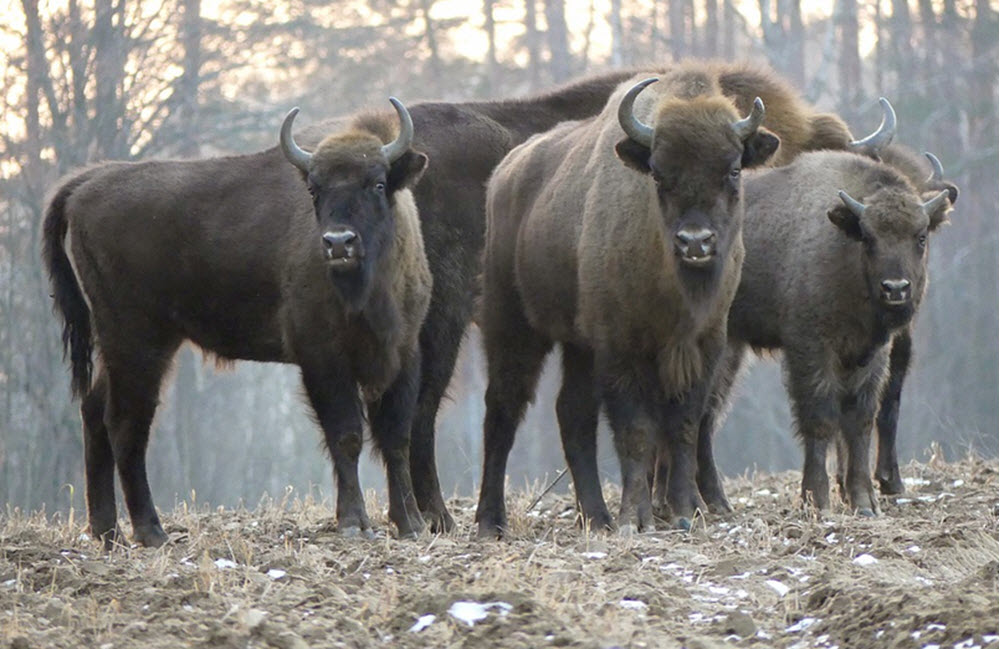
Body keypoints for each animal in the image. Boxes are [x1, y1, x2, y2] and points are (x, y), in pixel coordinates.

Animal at [44, 100, 434, 548]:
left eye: (378, 184)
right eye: (314, 189)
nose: (339, 243)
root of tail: (88, 182)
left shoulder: (404, 353)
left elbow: (396, 437)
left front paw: (411, 523)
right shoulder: (322, 359)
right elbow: (347, 435)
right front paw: (354, 522)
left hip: (129, 346)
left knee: (95, 411)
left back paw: (107, 532)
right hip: (136, 342)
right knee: (126, 424)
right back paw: (151, 531)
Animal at [704, 149, 952, 512]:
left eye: (920, 237)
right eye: (868, 237)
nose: (895, 288)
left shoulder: (868, 353)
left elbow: (859, 420)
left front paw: (864, 501)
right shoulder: (811, 347)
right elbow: (820, 418)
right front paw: (817, 498)